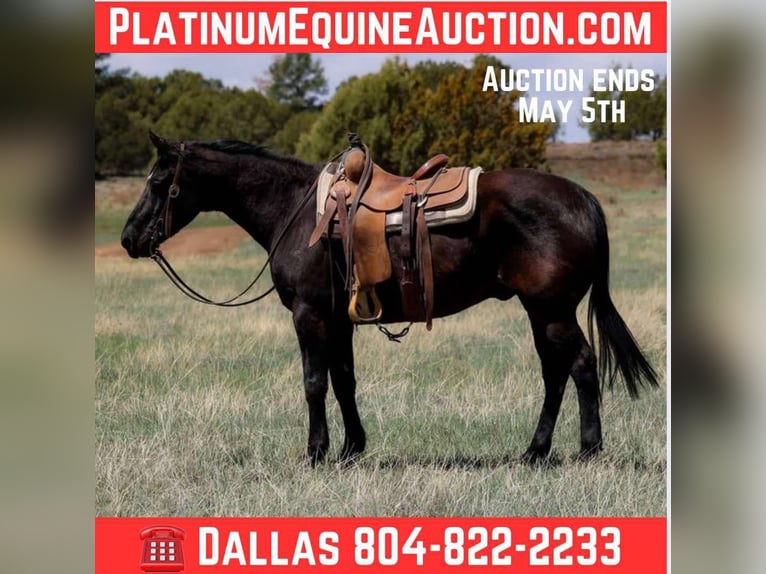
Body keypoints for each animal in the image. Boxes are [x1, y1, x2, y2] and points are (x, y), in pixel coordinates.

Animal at [120, 132, 659, 465]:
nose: (128, 239)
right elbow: (344, 382)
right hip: (541, 312)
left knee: (581, 366)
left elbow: (314, 383)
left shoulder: (309, 315)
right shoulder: (337, 319)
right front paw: (350, 449)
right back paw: (535, 451)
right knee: (555, 373)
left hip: (552, 310)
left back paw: (587, 449)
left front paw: (315, 453)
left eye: (158, 181)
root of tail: (582, 198)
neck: (297, 210)